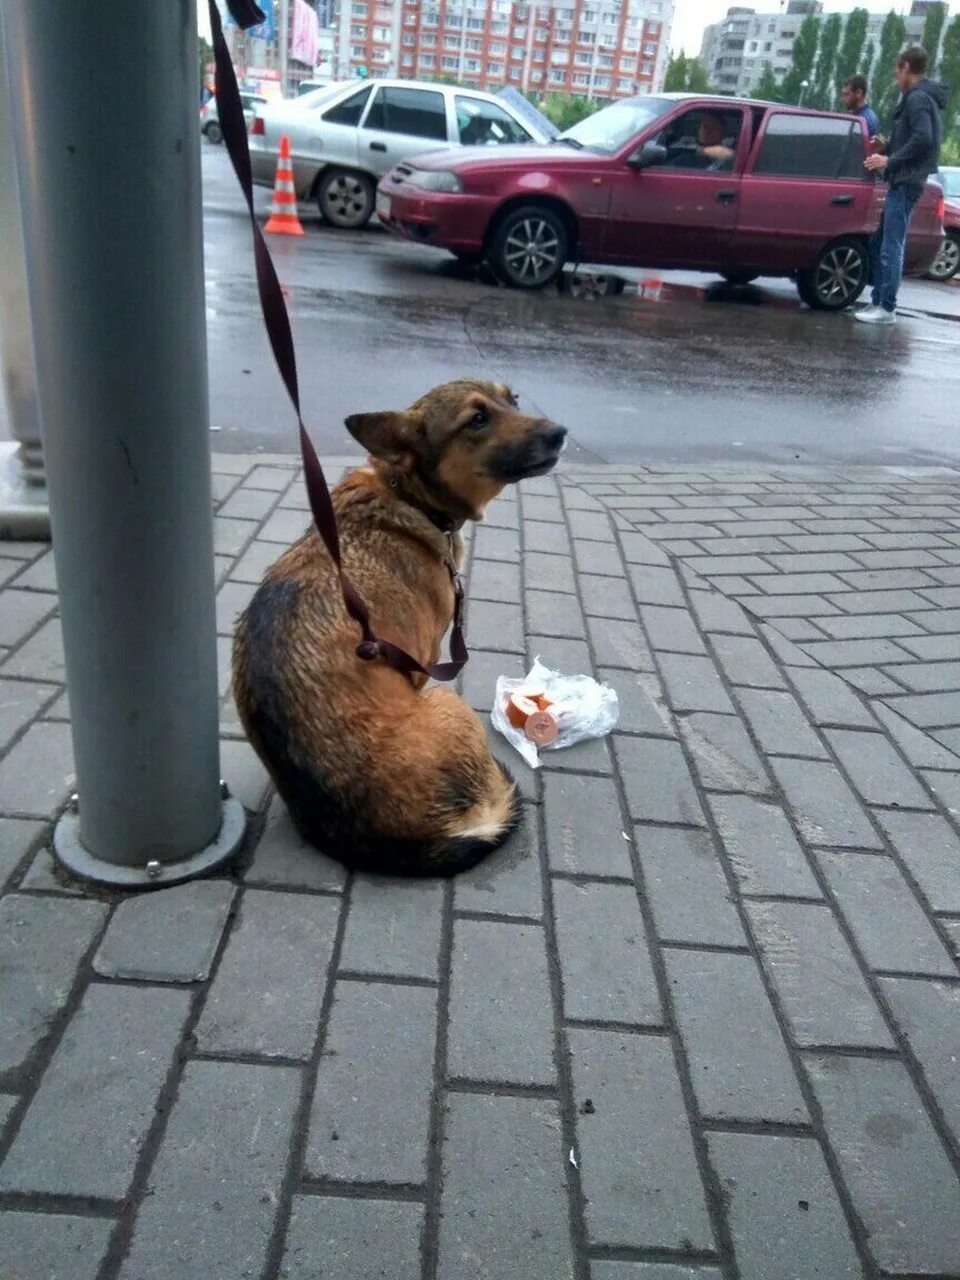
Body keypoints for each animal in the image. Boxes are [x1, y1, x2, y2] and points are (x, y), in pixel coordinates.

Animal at [231, 378, 568, 875]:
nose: (560, 433)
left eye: (514, 400)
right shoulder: (424, 661)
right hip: (448, 703)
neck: (409, 496)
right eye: (477, 419)